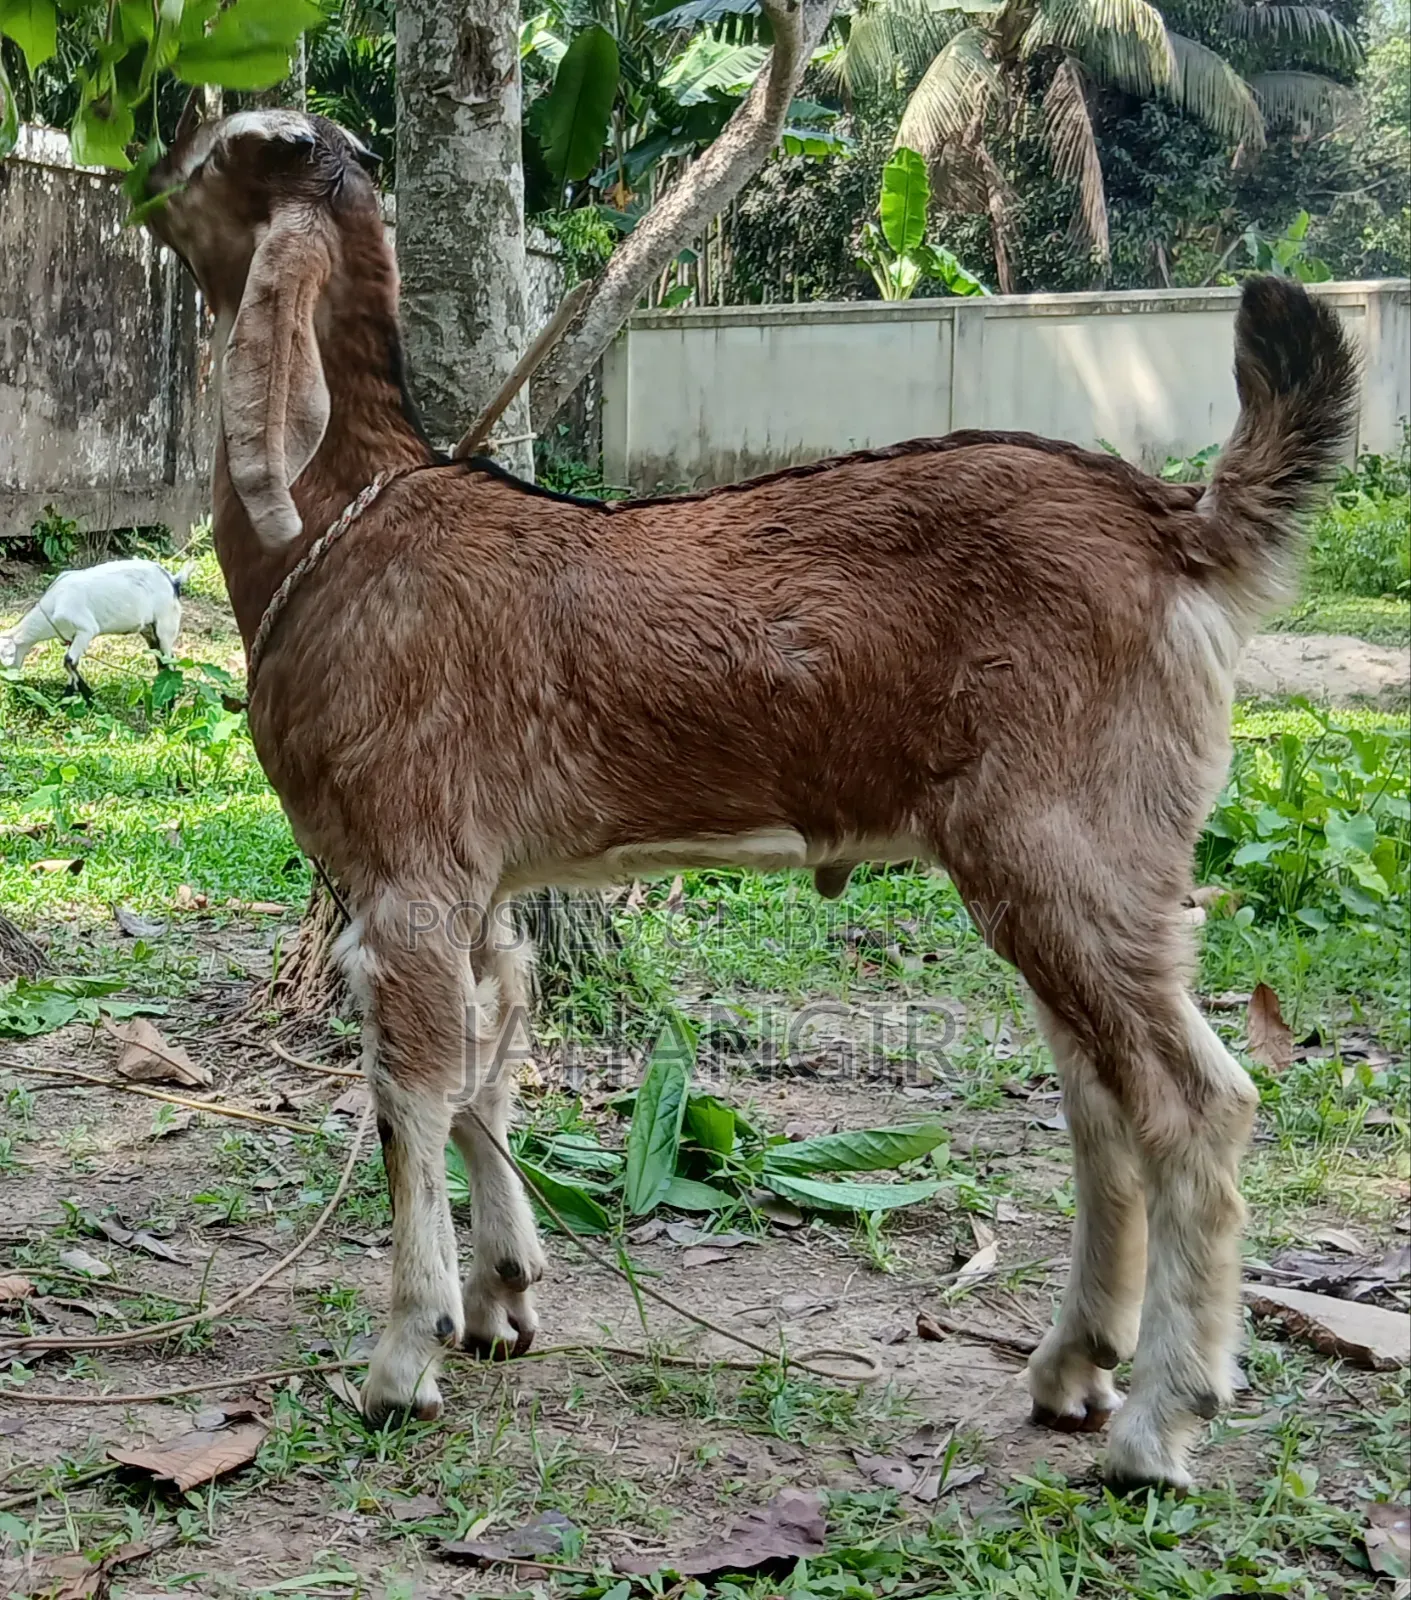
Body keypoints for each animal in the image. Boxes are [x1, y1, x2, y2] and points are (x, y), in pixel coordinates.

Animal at [0, 559, 187, 697]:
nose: (7, 684)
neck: (53, 605)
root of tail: (173, 580)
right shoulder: (72, 637)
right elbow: (71, 663)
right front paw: (69, 696)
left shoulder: (86, 630)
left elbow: (68, 661)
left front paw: (87, 696)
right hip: (149, 629)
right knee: (161, 660)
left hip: (166, 622)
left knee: (169, 662)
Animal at [143, 110, 1357, 1492]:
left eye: (223, 156)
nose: (144, 177)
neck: (343, 534)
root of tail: (1176, 526)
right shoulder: (481, 883)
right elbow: (489, 1067)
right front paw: (505, 1293)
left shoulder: (402, 874)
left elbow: (410, 1096)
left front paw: (405, 1359)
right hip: (1059, 867)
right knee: (1100, 1100)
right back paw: (1072, 1370)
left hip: (1073, 844)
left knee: (1194, 1101)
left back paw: (1158, 1427)